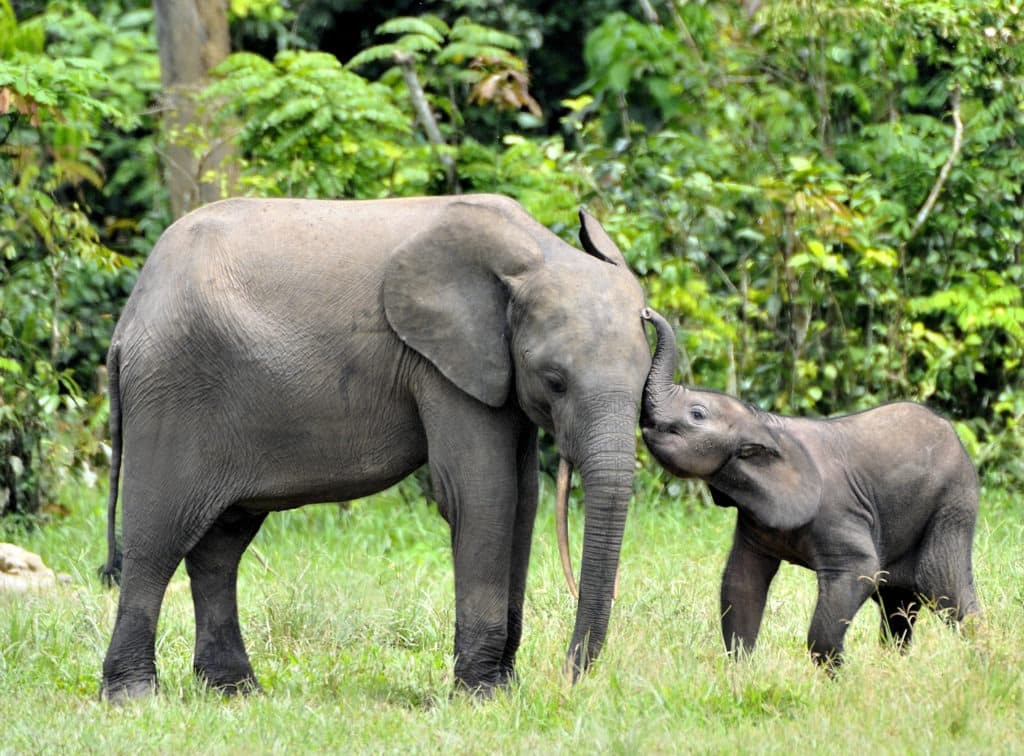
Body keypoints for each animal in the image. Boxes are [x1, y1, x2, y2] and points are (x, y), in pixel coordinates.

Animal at [99, 194, 651, 700]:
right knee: (157, 539)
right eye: (555, 381)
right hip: (173, 391)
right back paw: (134, 697)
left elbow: (522, 501)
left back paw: (234, 692)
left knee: (220, 547)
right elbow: (481, 495)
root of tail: (128, 322)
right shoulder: (441, 364)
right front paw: (479, 697)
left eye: (647, 377)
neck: (536, 253)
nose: (569, 677)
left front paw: (502, 689)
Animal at [634, 307, 978, 663]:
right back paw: (892, 665)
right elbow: (741, 582)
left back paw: (981, 658)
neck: (765, 423)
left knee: (945, 591)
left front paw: (836, 672)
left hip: (952, 505)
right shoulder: (756, 518)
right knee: (897, 603)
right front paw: (740, 669)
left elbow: (860, 570)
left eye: (697, 414)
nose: (646, 313)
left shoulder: (837, 513)